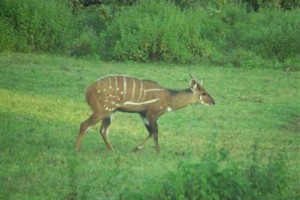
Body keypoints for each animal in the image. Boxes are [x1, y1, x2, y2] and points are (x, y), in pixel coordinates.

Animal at [76, 74, 214, 154]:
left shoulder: (143, 114)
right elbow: (155, 133)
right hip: (102, 110)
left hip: (110, 112)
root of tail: (87, 90)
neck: (169, 98)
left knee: (103, 131)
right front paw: (158, 153)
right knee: (84, 125)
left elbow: (150, 132)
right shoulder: (152, 114)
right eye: (203, 93)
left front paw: (135, 149)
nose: (213, 102)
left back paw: (112, 151)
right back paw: (76, 150)